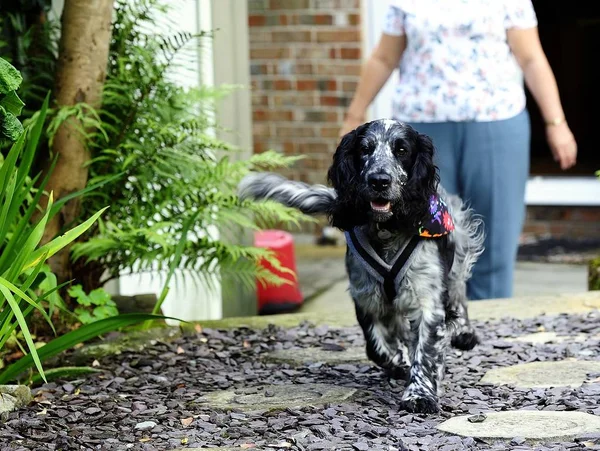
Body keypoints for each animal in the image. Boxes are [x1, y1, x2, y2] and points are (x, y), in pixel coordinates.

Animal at [237, 119, 486, 414]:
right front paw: (399, 361)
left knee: (459, 295)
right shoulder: (366, 294)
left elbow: (425, 349)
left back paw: (464, 333)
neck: (387, 228)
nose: (379, 180)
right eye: (364, 149)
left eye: (402, 150)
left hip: (458, 254)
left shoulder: (428, 298)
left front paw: (420, 395)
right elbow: (378, 347)